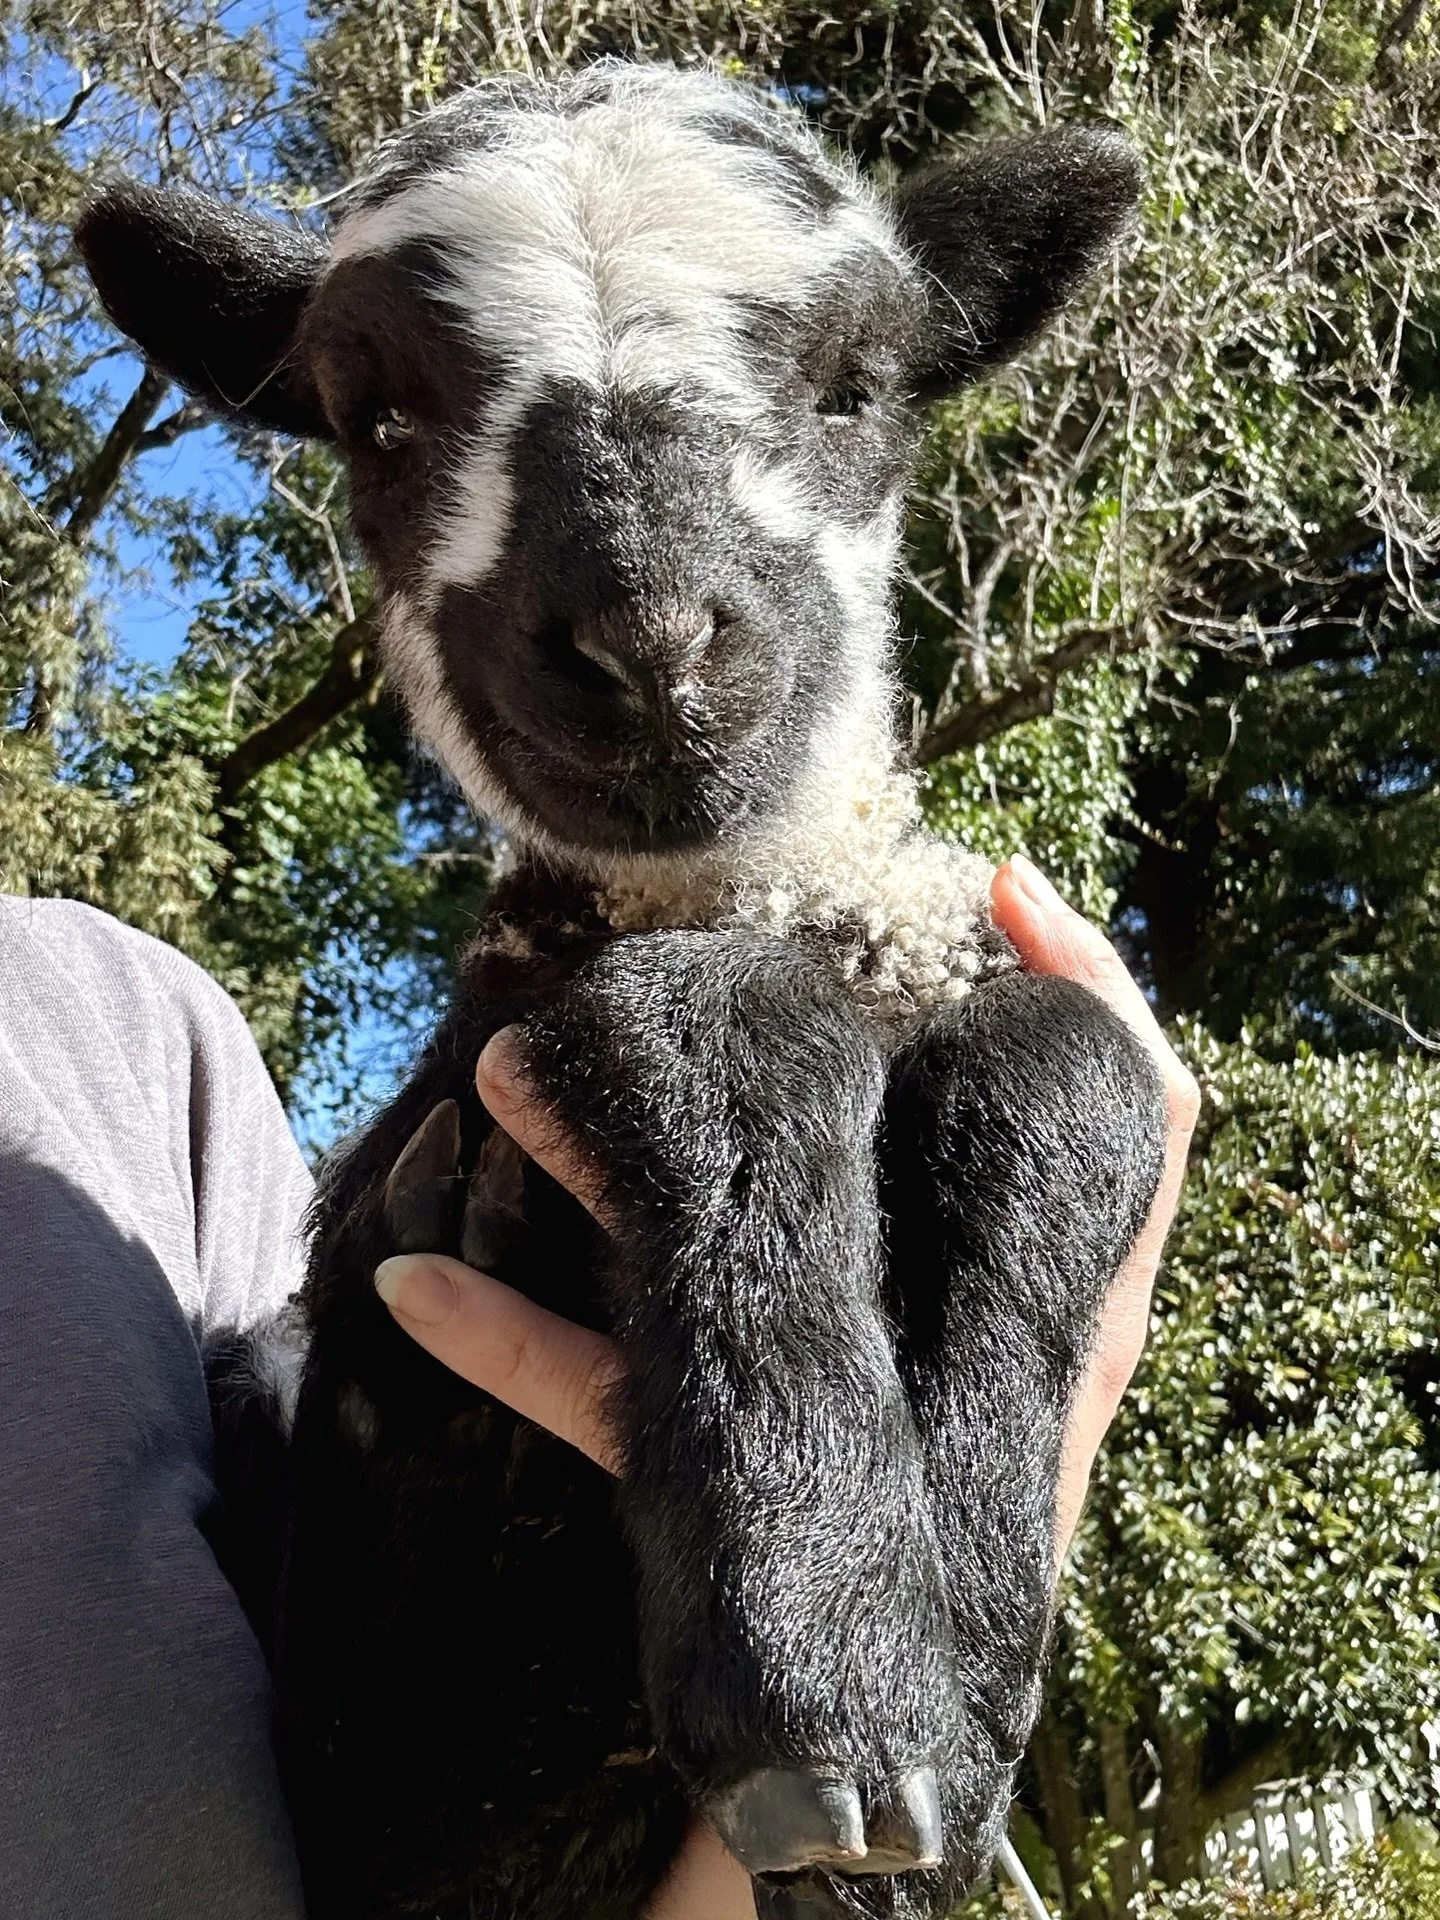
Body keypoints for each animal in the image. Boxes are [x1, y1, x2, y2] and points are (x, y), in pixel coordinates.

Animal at [77, 62, 1166, 1920]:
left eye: (858, 382)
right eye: (375, 422)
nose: (649, 642)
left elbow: (1073, 1050)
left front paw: (954, 1648)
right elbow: (703, 1025)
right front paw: (829, 1674)